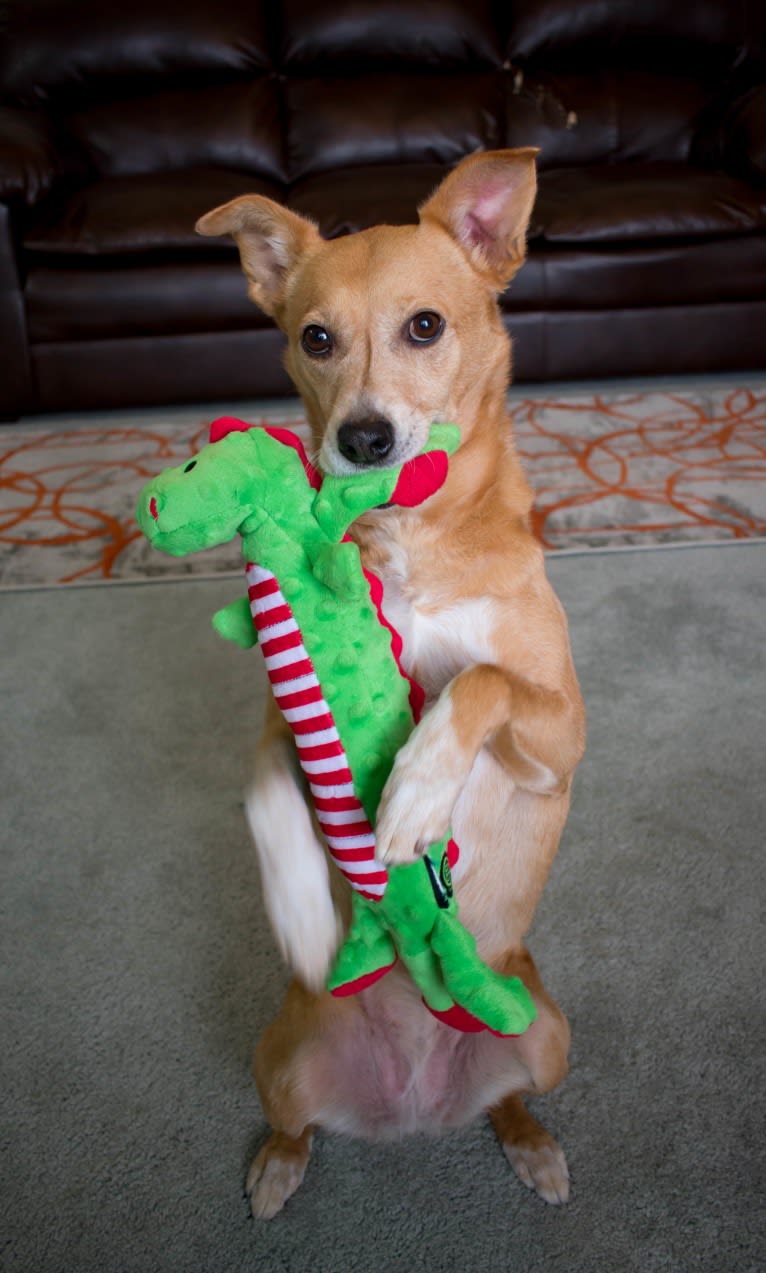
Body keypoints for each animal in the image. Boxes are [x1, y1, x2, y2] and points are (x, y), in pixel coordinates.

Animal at [197, 151, 585, 1222]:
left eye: (425, 326)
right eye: (315, 338)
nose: (365, 440)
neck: (412, 541)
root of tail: (413, 1105)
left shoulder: (562, 734)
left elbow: (482, 678)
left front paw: (414, 791)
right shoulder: (288, 711)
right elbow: (260, 779)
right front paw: (298, 903)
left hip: (546, 1033)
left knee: (516, 1099)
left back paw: (532, 1145)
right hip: (281, 1051)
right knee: (294, 1121)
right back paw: (279, 1164)